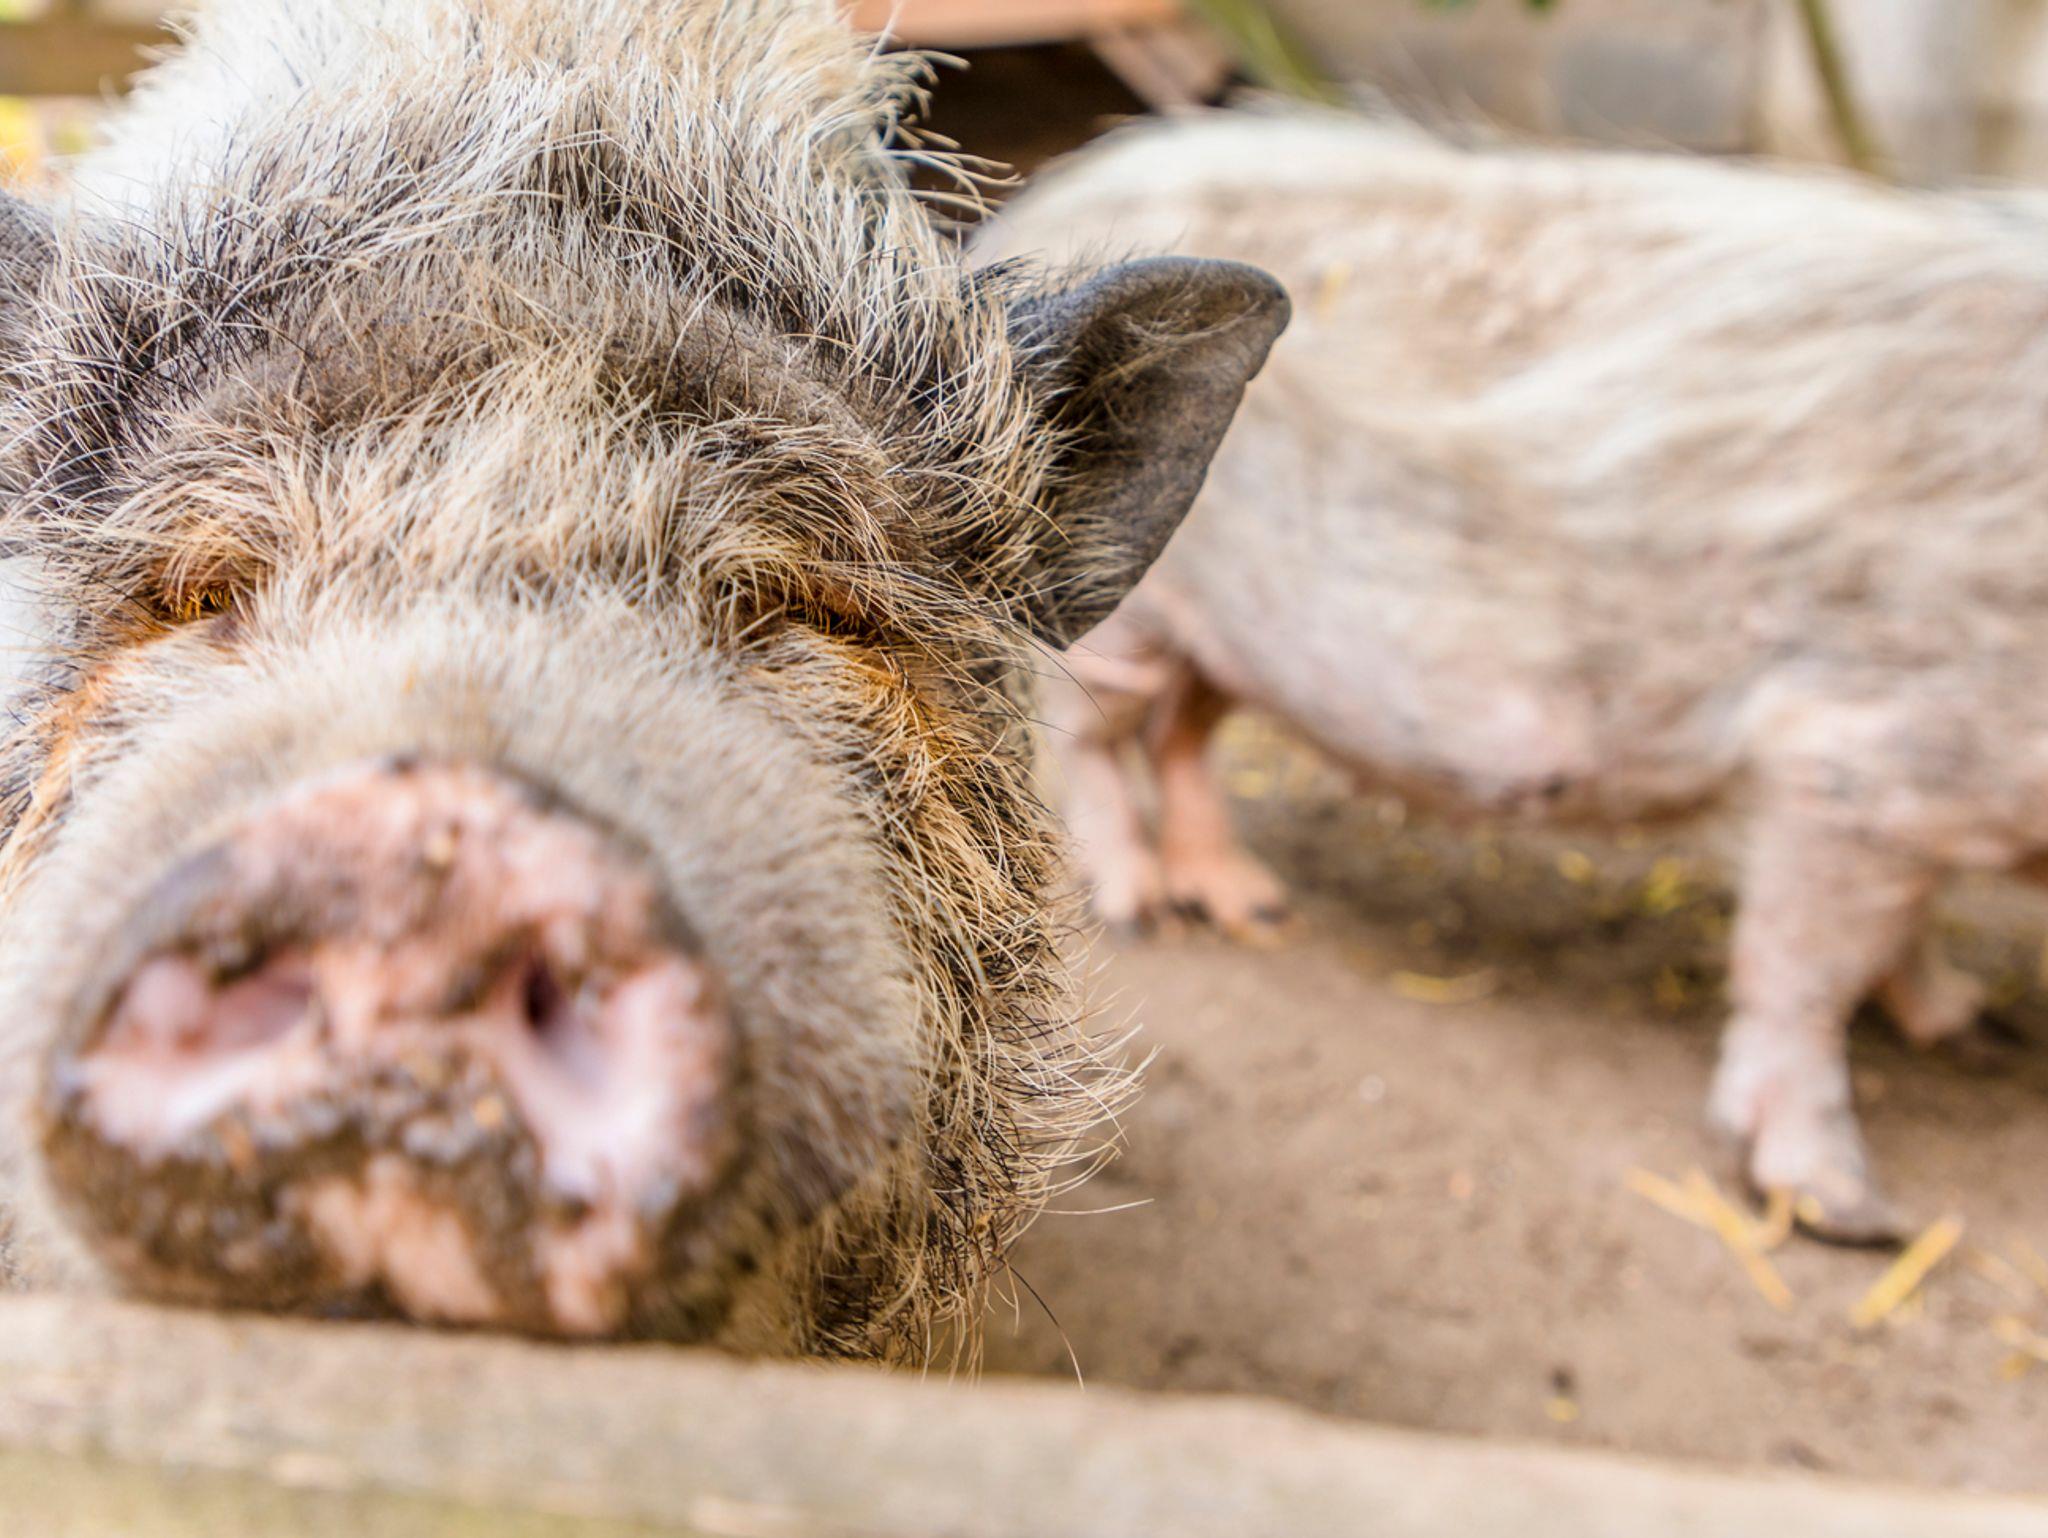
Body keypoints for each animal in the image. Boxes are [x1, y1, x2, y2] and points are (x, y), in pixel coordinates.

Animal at [977, 108, 2048, 1243]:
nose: (1998, 1034)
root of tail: (1047, 196)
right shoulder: (1855, 754)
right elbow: (1807, 973)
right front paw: (1847, 1212)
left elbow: (1901, 934)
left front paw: (1968, 1025)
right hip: (1124, 614)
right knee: (1095, 735)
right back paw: (1140, 911)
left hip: (1236, 634)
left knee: (1184, 733)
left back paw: (1255, 908)